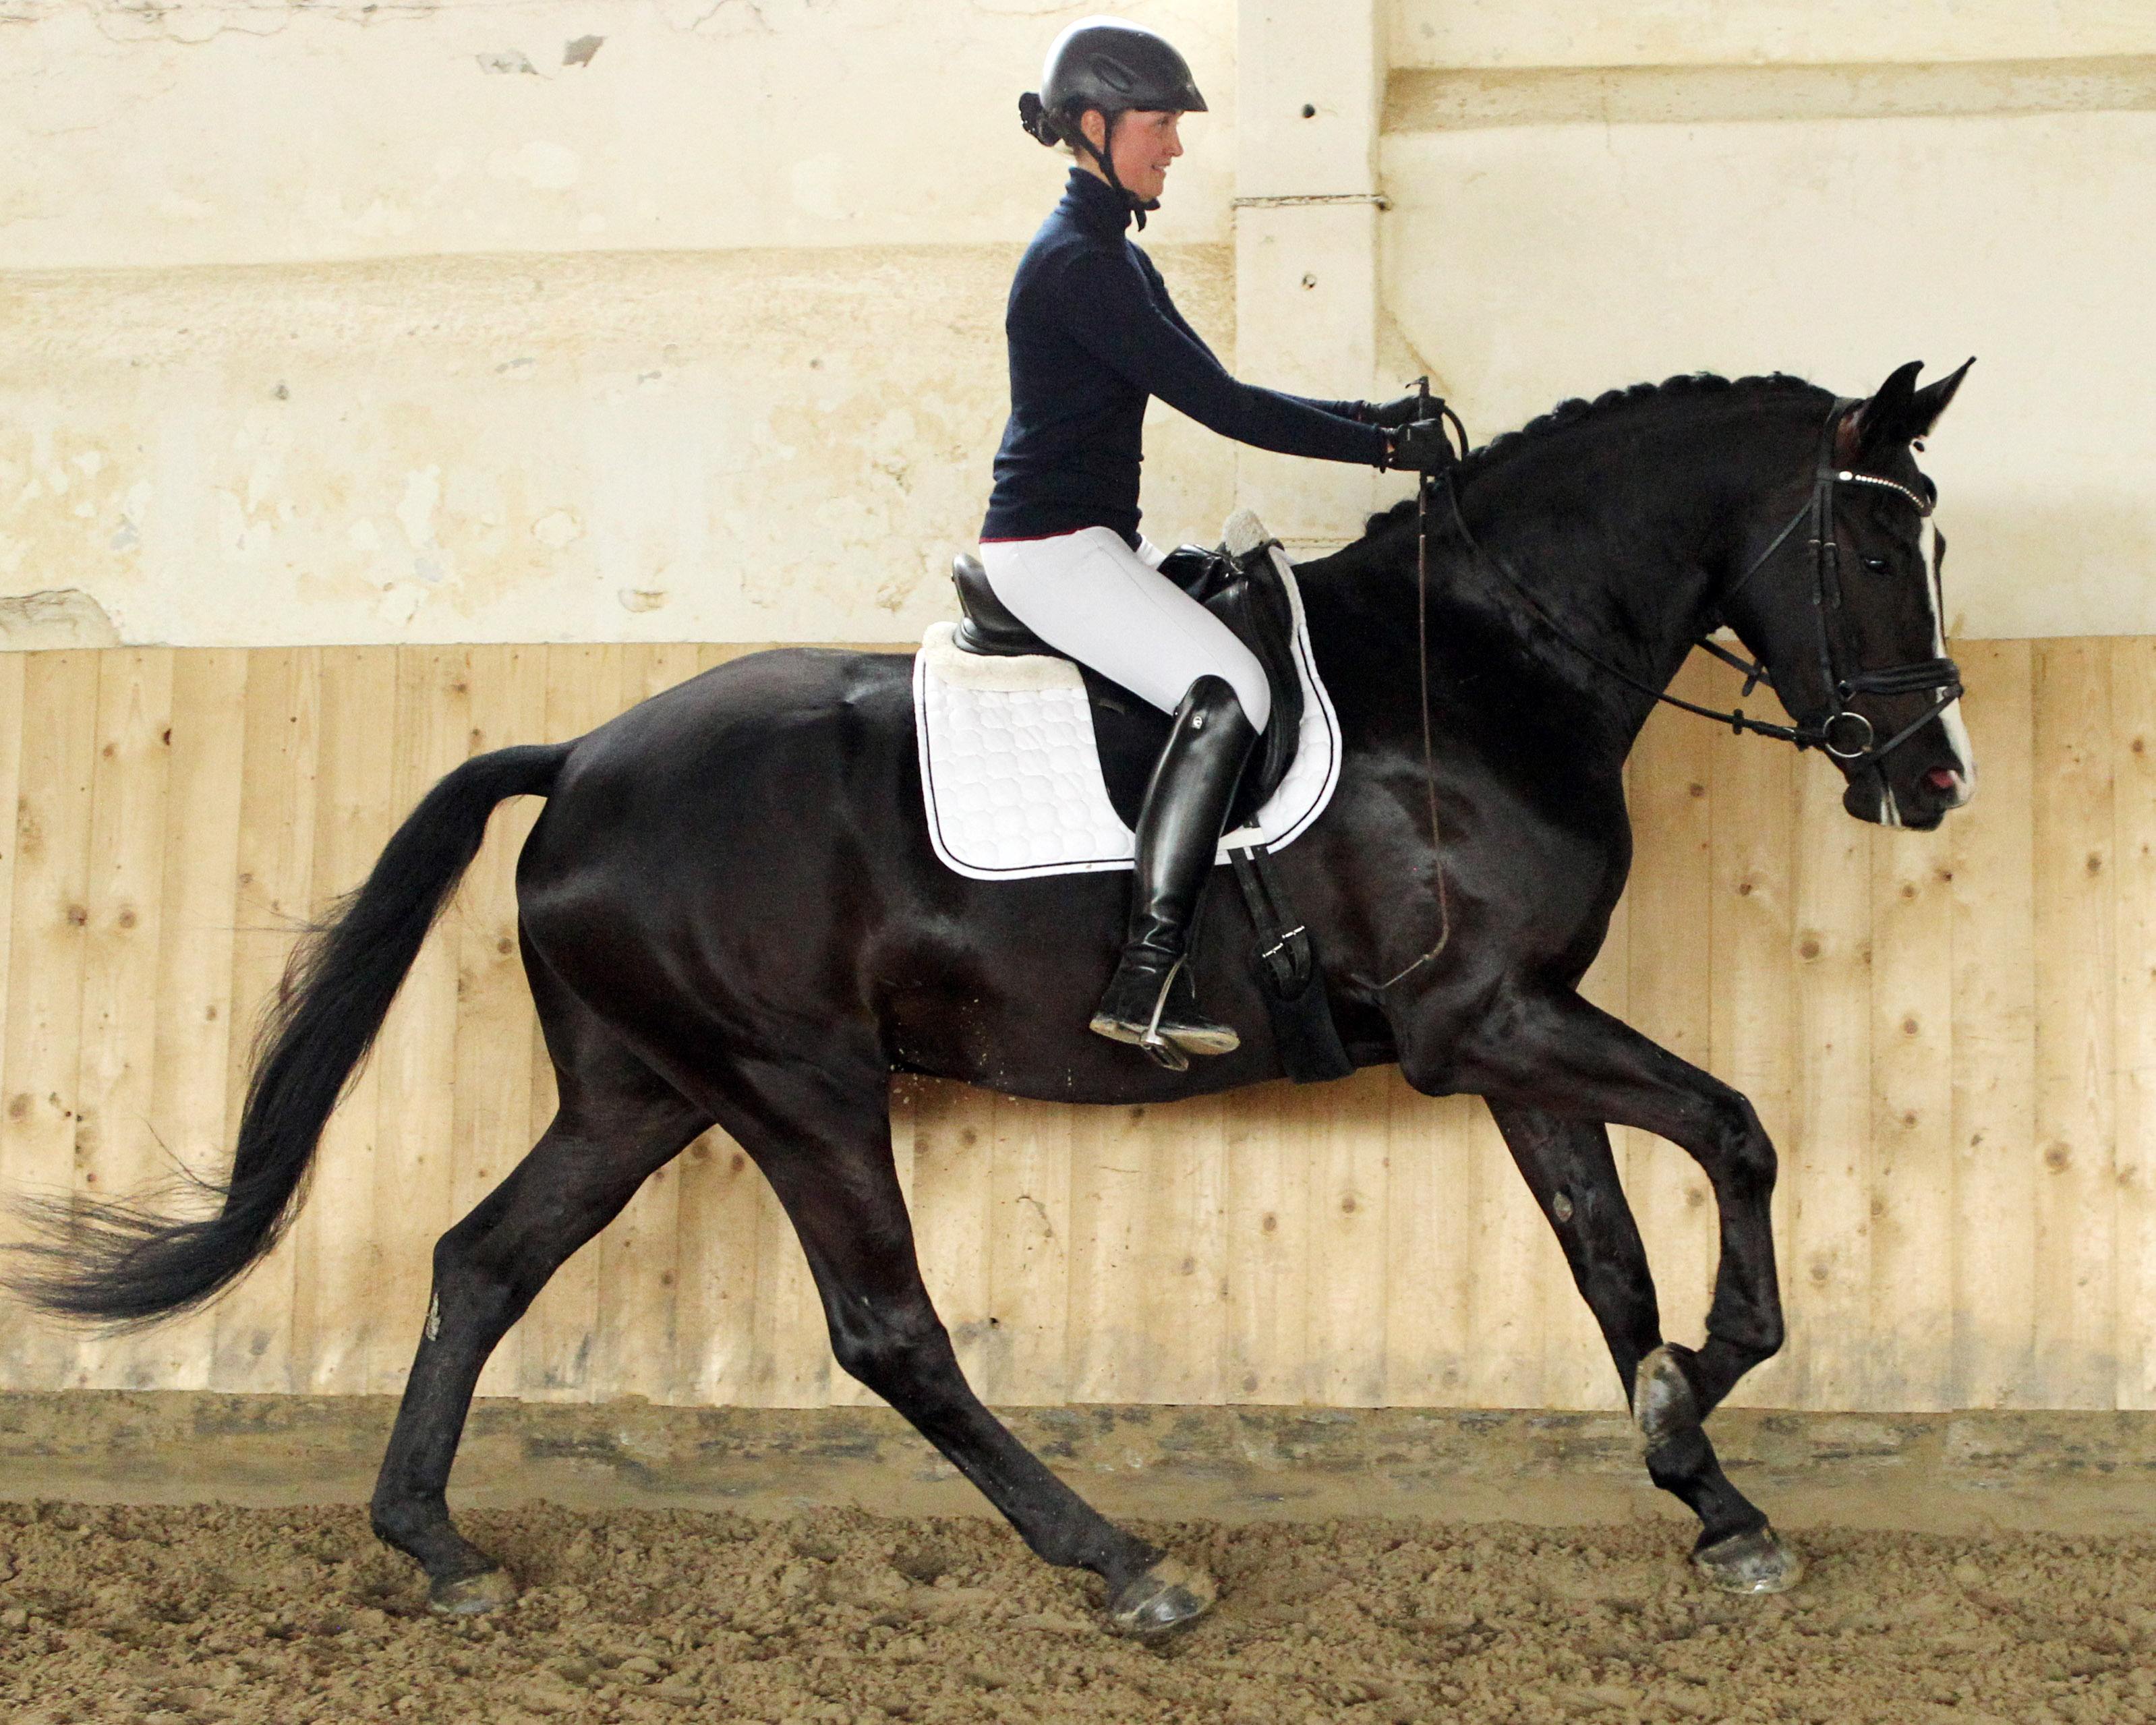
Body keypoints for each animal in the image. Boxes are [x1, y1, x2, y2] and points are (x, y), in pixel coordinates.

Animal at [12, 357, 1975, 1621]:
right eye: (1878, 549)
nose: (1932, 776)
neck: (1485, 661)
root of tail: (578, 761)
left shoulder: (1511, 1031)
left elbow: (1605, 1255)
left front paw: (1705, 1487)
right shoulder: (1476, 1023)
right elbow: (1735, 1133)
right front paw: (1698, 1393)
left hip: (642, 1088)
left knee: (481, 1261)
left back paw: (434, 1546)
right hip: (796, 1087)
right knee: (888, 1330)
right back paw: (1126, 1566)